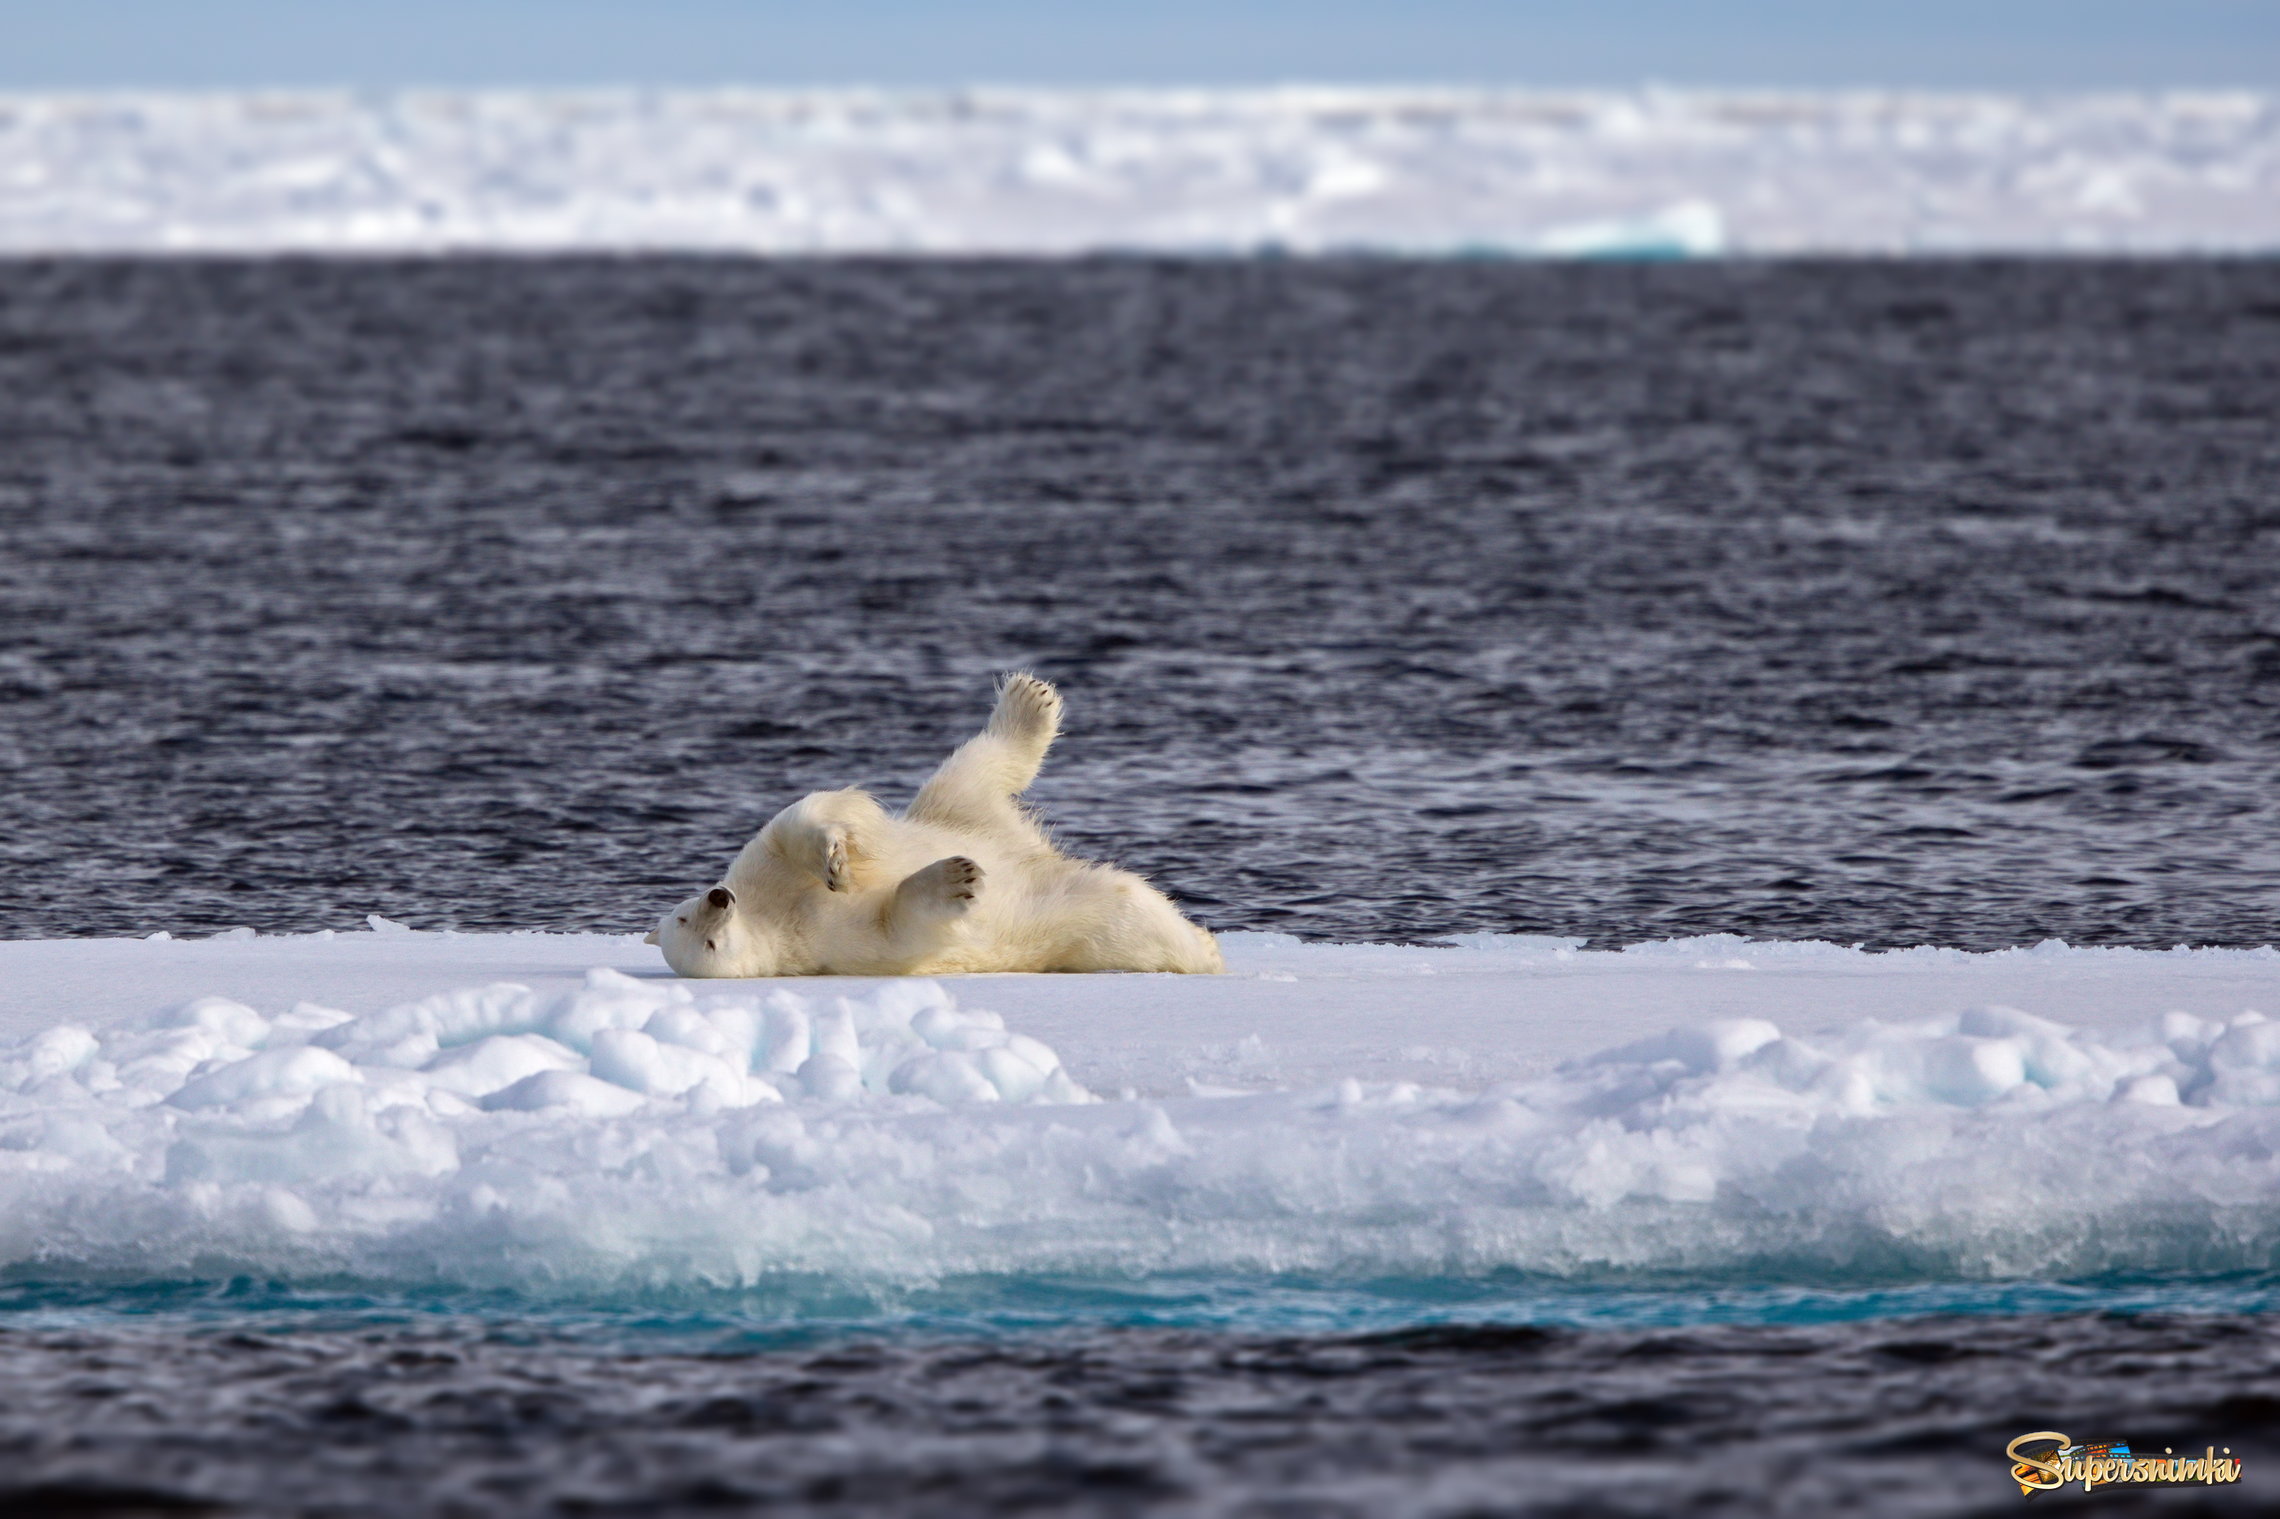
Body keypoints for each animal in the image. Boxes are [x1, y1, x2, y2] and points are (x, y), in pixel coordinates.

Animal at [652, 670, 1222, 976]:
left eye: (683, 914)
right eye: (704, 942)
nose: (718, 899)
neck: (769, 915)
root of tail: (1038, 857)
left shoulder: (757, 867)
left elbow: (795, 823)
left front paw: (835, 861)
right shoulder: (828, 949)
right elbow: (898, 929)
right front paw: (957, 879)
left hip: (959, 814)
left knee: (969, 770)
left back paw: (1029, 700)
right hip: (1072, 922)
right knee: (1131, 921)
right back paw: (1204, 950)